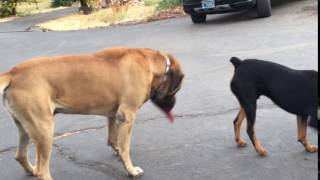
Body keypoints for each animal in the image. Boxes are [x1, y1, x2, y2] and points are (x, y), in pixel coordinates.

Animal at [0, 47, 184, 180]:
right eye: (175, 90)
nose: (173, 106)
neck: (152, 64)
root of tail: (12, 73)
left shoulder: (113, 115)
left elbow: (113, 139)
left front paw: (117, 152)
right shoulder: (127, 115)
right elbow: (125, 147)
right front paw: (130, 170)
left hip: (25, 127)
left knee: (20, 155)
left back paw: (30, 169)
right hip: (44, 129)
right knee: (42, 171)